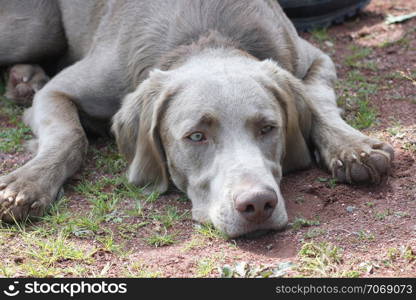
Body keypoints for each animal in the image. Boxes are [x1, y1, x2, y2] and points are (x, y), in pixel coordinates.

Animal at [0, 1, 394, 238]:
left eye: (268, 129)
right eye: (196, 136)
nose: (258, 205)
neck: (206, 38)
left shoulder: (312, 57)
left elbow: (318, 102)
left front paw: (354, 148)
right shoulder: (59, 91)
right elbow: (70, 136)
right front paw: (27, 184)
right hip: (33, 29)